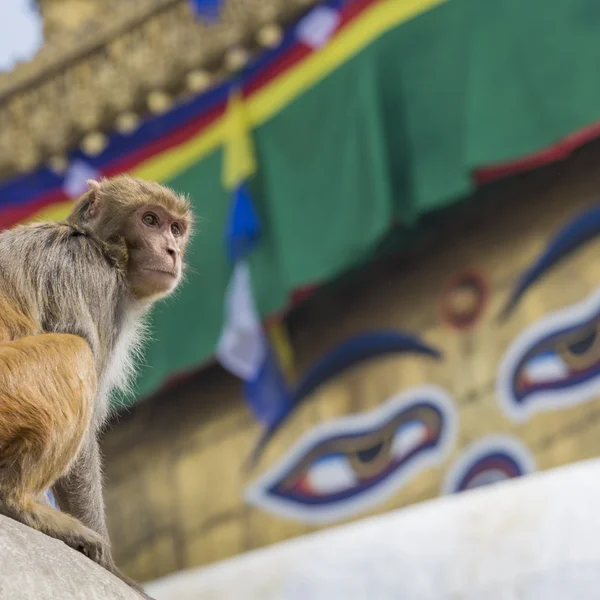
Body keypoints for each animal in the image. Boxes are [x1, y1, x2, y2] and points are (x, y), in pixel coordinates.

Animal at [0, 172, 192, 596]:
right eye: (149, 220)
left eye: (175, 228)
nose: (171, 250)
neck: (103, 249)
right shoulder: (88, 278)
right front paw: (111, 569)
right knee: (75, 352)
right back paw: (15, 501)